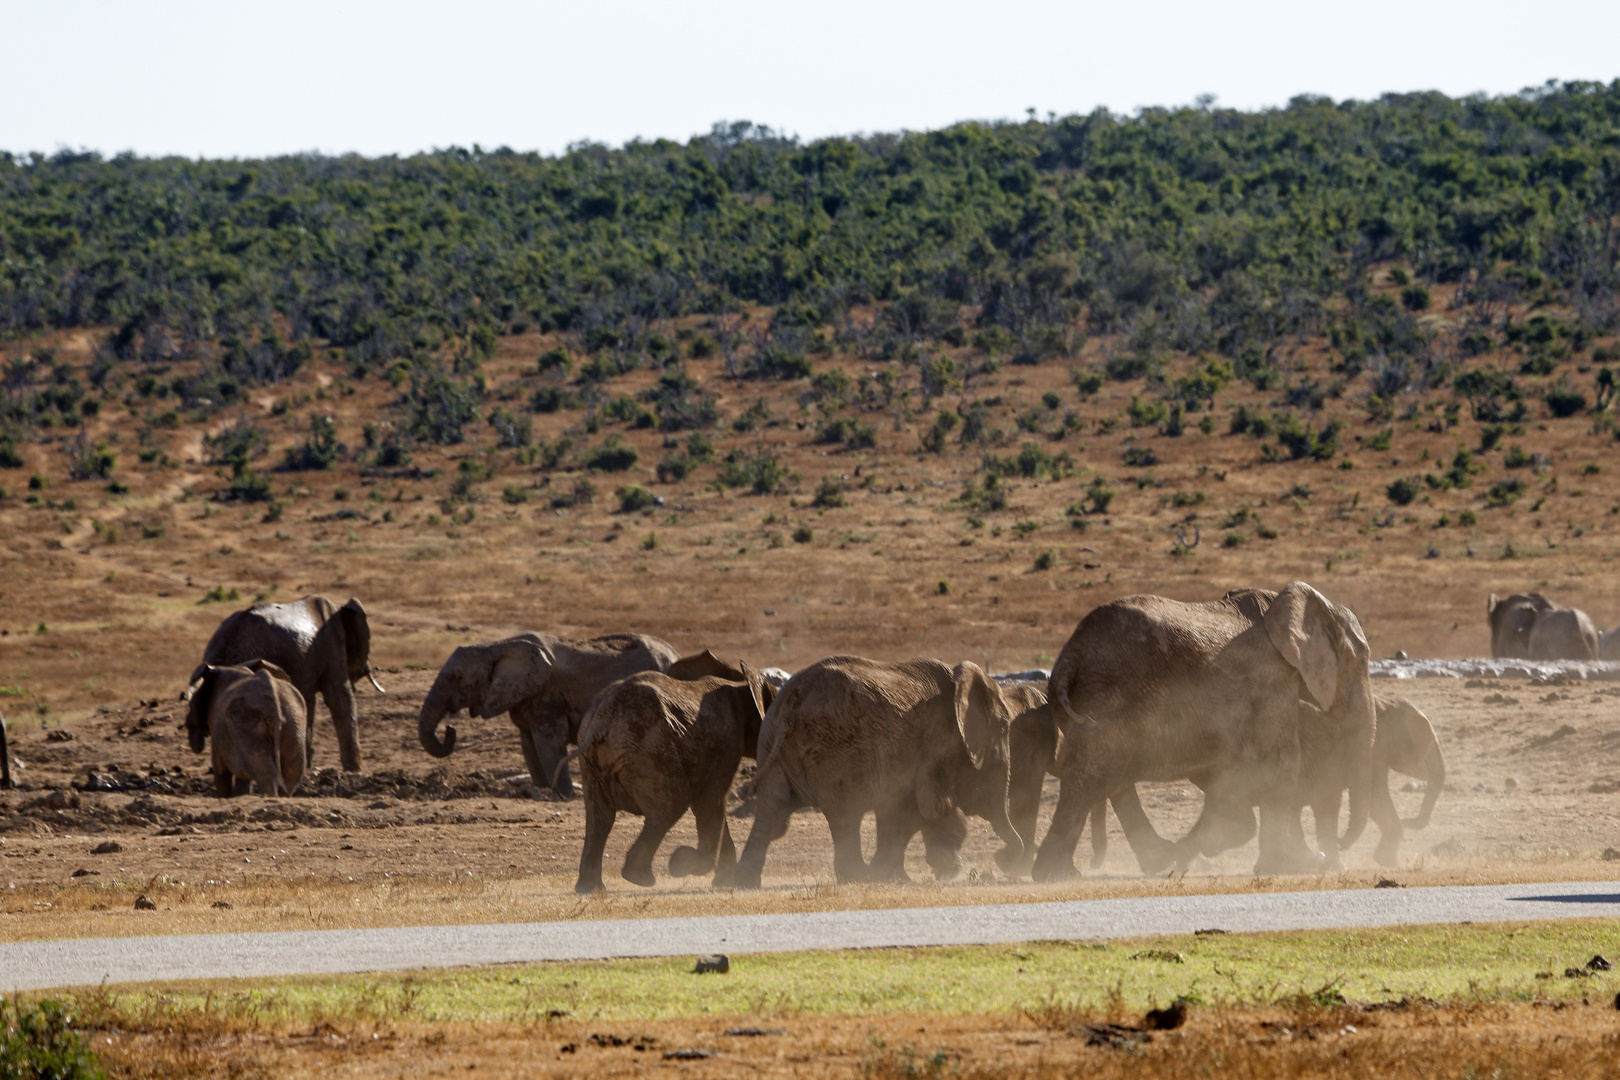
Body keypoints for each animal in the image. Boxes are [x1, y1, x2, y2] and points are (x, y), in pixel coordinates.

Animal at [184, 654, 309, 799]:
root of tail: (274, 697)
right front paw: (239, 795)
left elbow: (220, 768)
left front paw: (224, 796)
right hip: (294, 719)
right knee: (292, 770)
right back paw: (282, 796)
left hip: (248, 720)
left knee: (265, 770)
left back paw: (269, 796)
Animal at [417, 628, 677, 799]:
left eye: (458, 678)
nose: (449, 728)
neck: (496, 646)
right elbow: (528, 745)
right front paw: (539, 790)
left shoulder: (547, 695)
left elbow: (548, 744)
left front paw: (563, 794)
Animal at [738, 654, 1023, 893]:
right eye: (1003, 728)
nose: (1003, 858)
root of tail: (789, 706)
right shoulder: (939, 742)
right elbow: (931, 806)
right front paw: (944, 868)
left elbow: (902, 809)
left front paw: (898, 875)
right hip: (838, 748)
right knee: (845, 815)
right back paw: (857, 876)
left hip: (771, 742)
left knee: (773, 811)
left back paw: (743, 881)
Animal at [1036, 582, 1380, 880]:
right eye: (1363, 660)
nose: (1343, 843)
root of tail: (1068, 657)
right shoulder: (1272, 677)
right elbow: (1281, 759)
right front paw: (1295, 866)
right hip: (1110, 691)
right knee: (1094, 773)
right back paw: (1060, 874)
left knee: (1109, 775)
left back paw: (1157, 860)